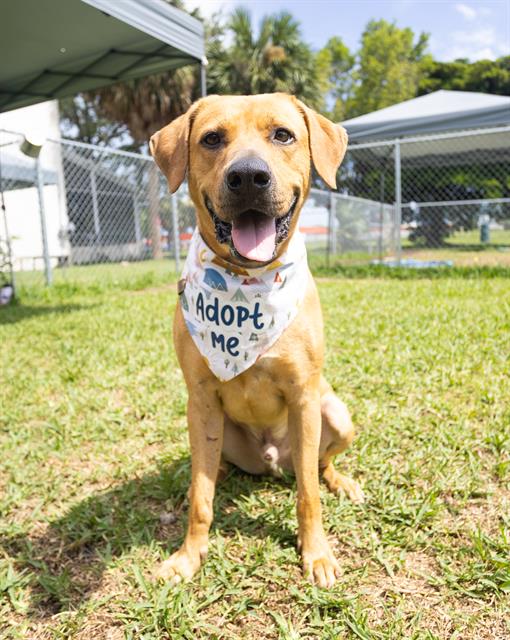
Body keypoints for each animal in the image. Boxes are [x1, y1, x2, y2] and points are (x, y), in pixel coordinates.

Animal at [149, 92, 364, 588]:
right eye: (212, 139)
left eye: (283, 135)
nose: (248, 176)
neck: (247, 284)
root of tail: (271, 460)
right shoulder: (200, 399)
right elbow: (200, 497)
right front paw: (189, 555)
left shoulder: (305, 398)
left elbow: (308, 493)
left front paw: (316, 553)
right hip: (213, 428)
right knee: (209, 470)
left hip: (335, 414)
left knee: (318, 465)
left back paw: (340, 481)